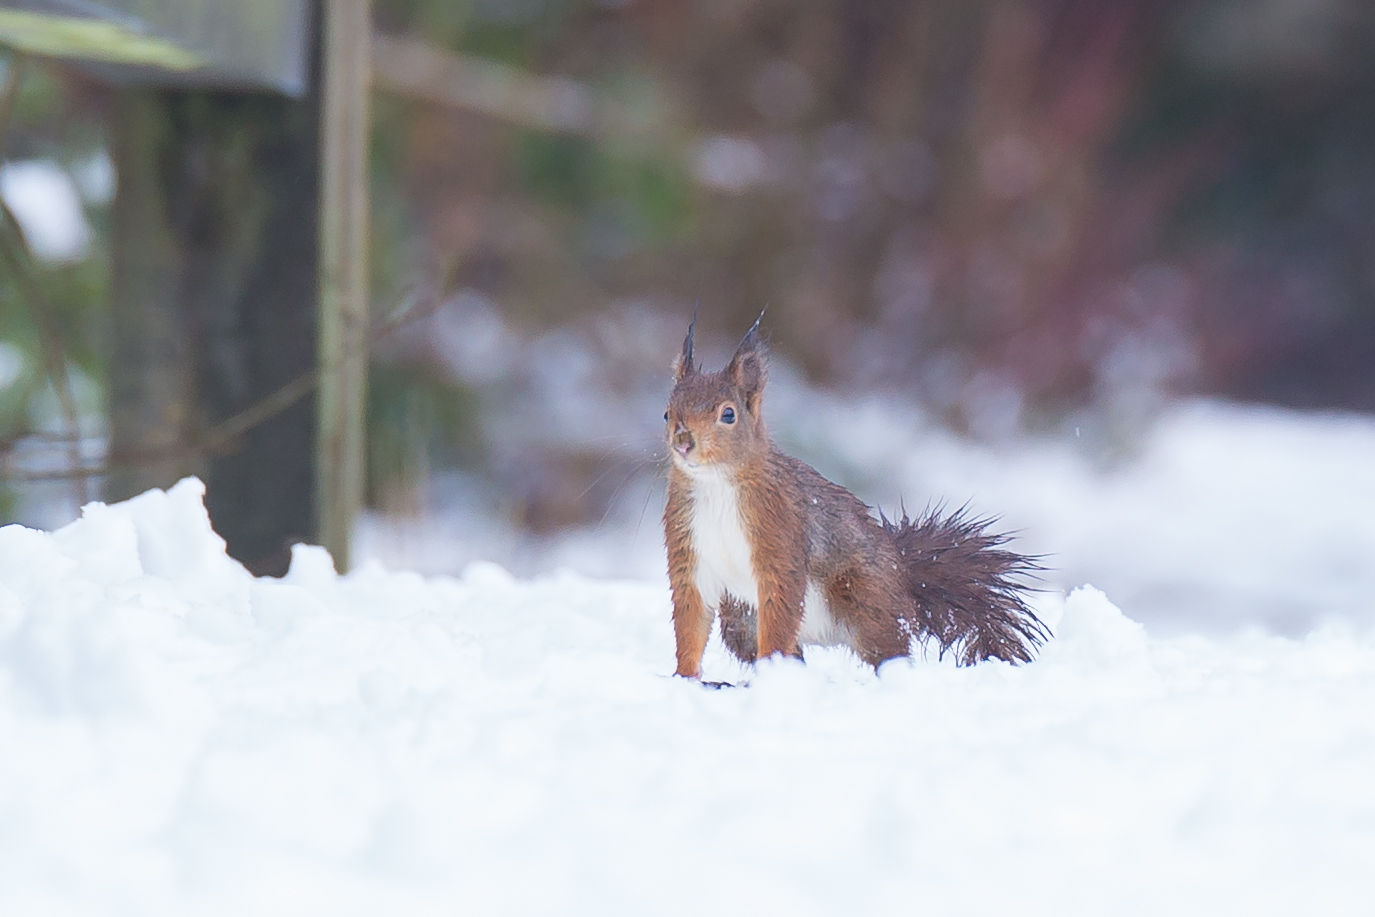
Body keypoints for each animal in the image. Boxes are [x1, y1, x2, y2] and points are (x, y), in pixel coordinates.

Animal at [662, 317, 1039, 681]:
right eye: (667, 413)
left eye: (728, 414)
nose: (683, 442)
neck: (715, 483)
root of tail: (904, 582)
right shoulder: (688, 551)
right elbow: (691, 618)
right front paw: (684, 677)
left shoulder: (780, 539)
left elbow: (780, 607)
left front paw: (769, 669)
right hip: (740, 618)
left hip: (865, 600)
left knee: (887, 650)